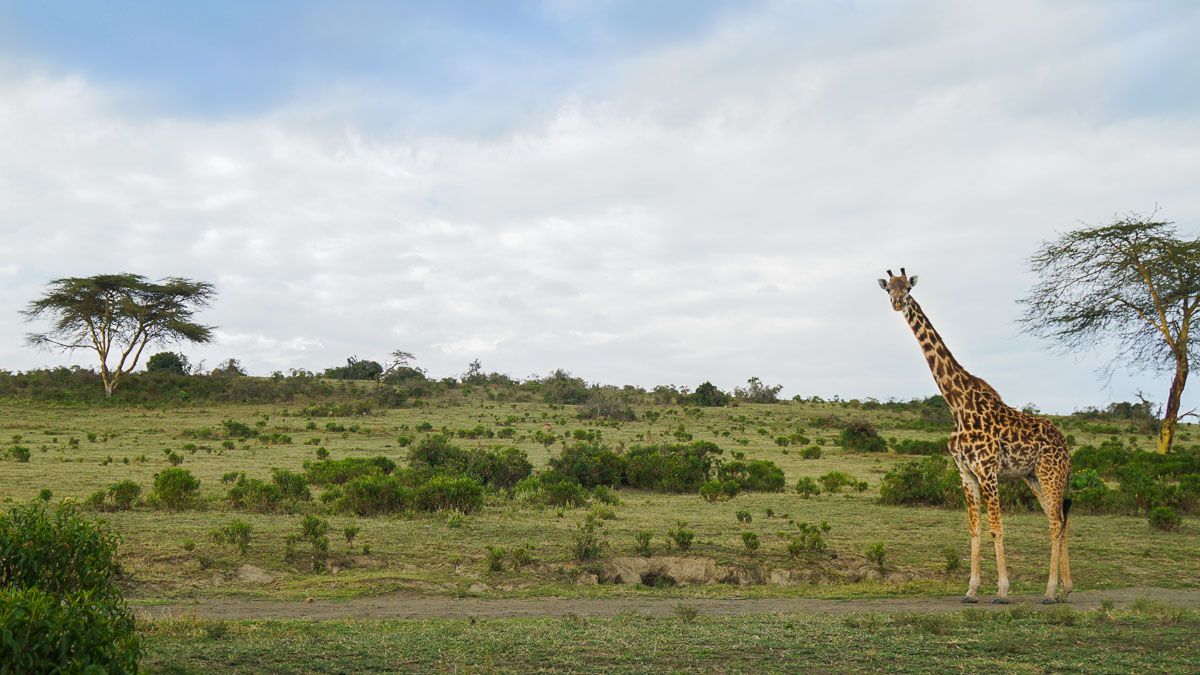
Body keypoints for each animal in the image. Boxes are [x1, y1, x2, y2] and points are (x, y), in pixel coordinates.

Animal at [878, 265, 1075, 600]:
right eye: (888, 288)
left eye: (909, 288)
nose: (897, 303)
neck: (957, 404)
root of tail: (1065, 444)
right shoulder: (966, 472)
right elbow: (975, 527)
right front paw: (971, 590)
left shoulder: (987, 470)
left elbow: (996, 527)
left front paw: (1002, 591)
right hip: (1034, 476)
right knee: (1058, 518)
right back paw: (1065, 588)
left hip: (1051, 472)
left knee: (1055, 521)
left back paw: (1050, 592)